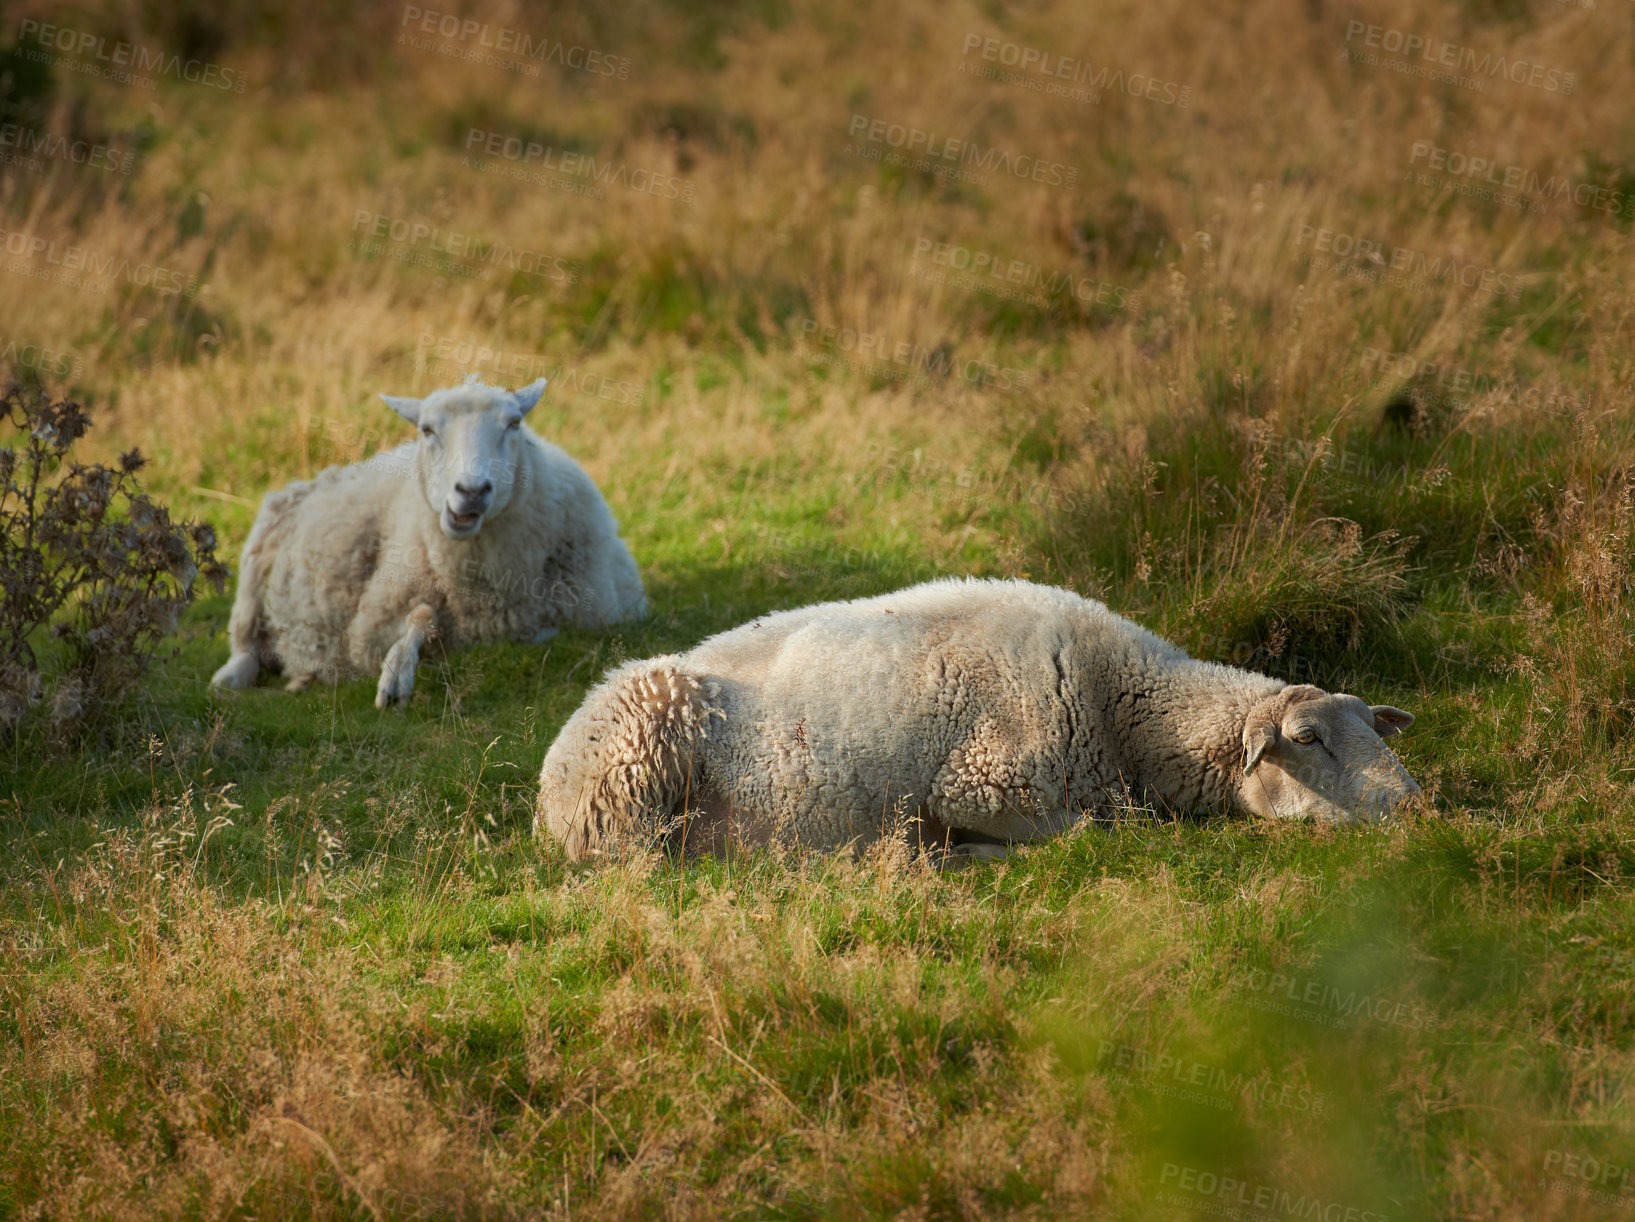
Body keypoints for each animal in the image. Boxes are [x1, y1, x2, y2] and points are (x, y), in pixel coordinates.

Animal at [214, 374, 647, 706]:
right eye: (426, 429)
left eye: (513, 424)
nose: (471, 491)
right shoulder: (368, 630)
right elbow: (419, 619)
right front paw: (396, 673)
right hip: (257, 555)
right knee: (245, 641)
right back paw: (231, 678)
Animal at [536, 579, 1419, 863]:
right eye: (1306, 741)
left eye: (1373, 730)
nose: (1415, 806)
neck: (1122, 705)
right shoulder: (980, 785)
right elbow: (1094, 833)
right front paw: (948, 853)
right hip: (632, 793)